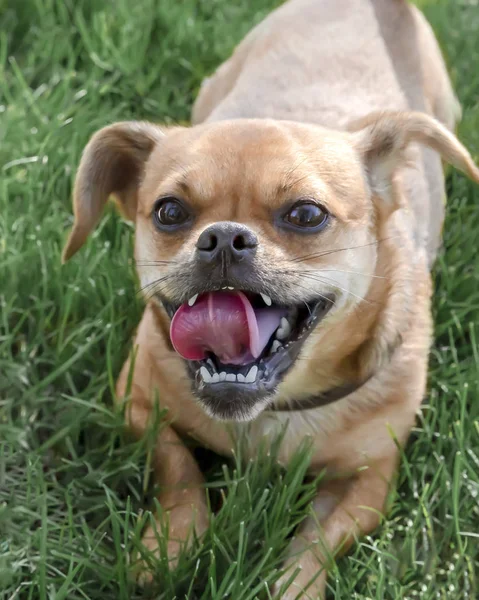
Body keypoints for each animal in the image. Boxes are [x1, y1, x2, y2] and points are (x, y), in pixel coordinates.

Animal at [62, 0, 479, 596]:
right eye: (169, 211)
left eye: (306, 214)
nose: (223, 238)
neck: (271, 411)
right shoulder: (135, 403)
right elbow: (178, 469)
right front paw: (170, 546)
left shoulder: (369, 481)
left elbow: (316, 543)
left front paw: (289, 585)